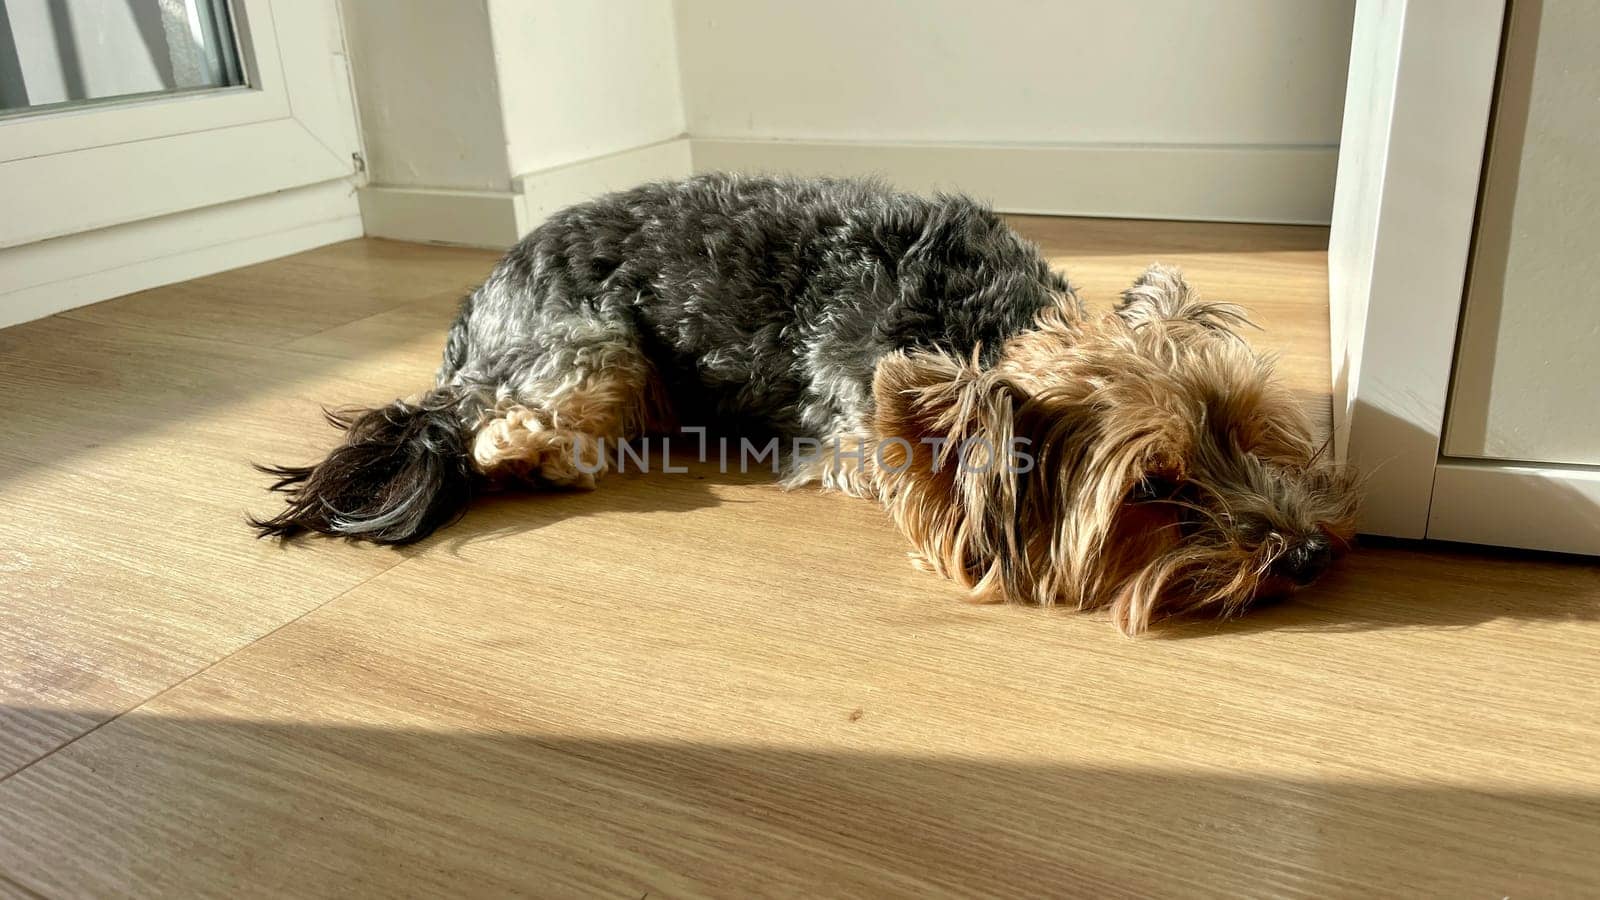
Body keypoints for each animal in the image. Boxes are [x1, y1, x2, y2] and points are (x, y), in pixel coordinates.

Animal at [252, 173, 1363, 630]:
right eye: (1156, 492)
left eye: (1252, 433)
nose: (1311, 553)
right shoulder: (862, 439)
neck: (984, 329)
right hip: (596, 346)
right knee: (500, 427)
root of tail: (475, 308)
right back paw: (531, 448)